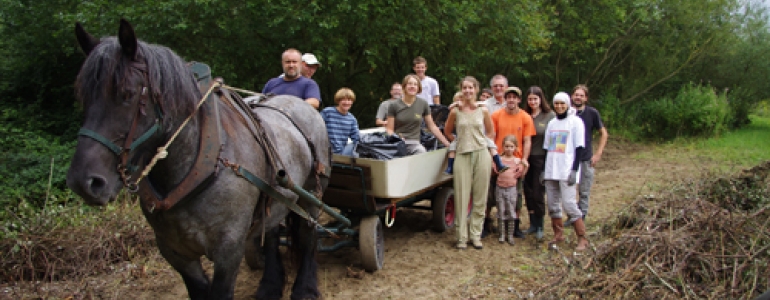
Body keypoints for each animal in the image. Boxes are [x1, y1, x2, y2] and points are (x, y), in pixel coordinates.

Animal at [67, 19, 330, 300]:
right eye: (83, 97)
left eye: (127, 94)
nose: (84, 181)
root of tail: (301, 105)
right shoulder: (175, 252)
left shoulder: (228, 249)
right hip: (279, 197)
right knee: (270, 233)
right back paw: (270, 285)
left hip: (312, 194)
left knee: (308, 236)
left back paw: (305, 287)